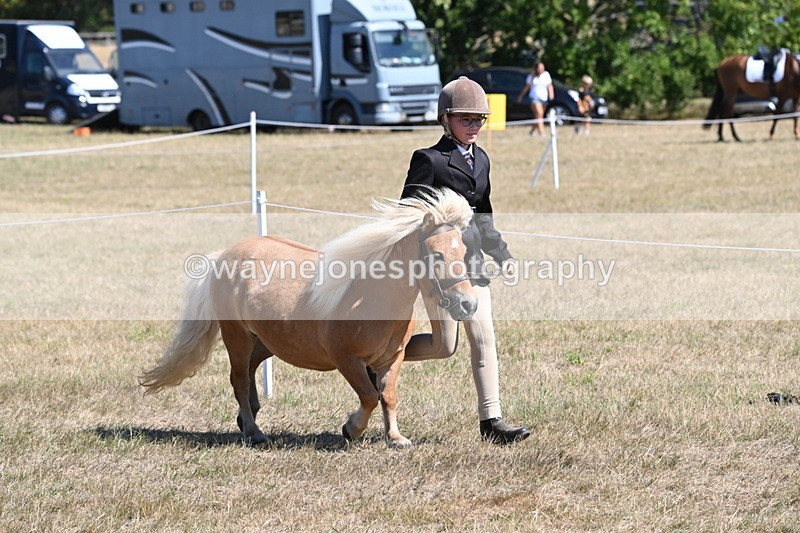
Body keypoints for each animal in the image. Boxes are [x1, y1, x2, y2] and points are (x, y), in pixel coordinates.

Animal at [139, 188, 478, 448]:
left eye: (463, 252)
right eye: (436, 255)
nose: (468, 303)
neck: (372, 297)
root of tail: (224, 255)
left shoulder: (392, 358)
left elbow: (388, 396)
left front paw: (396, 438)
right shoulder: (347, 359)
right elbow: (369, 396)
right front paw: (351, 429)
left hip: (265, 342)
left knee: (249, 374)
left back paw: (247, 418)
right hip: (236, 336)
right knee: (239, 380)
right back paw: (254, 432)